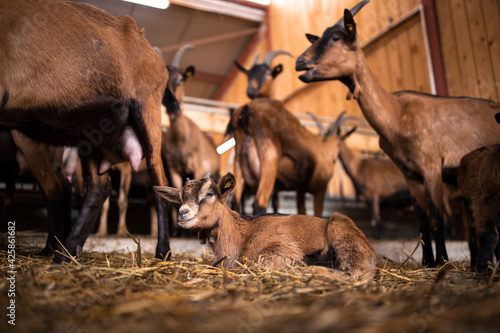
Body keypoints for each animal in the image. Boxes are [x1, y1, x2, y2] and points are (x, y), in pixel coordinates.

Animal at [0, 0, 178, 260]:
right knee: (97, 188)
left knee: (159, 185)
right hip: (92, 133)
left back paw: (162, 252)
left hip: (147, 112)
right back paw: (64, 252)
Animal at [154, 172, 376, 278]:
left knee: (356, 271)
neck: (240, 234)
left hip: (341, 232)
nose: (183, 213)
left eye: (209, 194)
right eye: (180, 197)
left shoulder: (281, 249)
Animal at [294, 0, 500, 264]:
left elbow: (435, 218)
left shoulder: (431, 167)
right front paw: (427, 261)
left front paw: (442, 261)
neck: (397, 114)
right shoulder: (410, 174)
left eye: (337, 37)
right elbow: (421, 220)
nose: (300, 62)